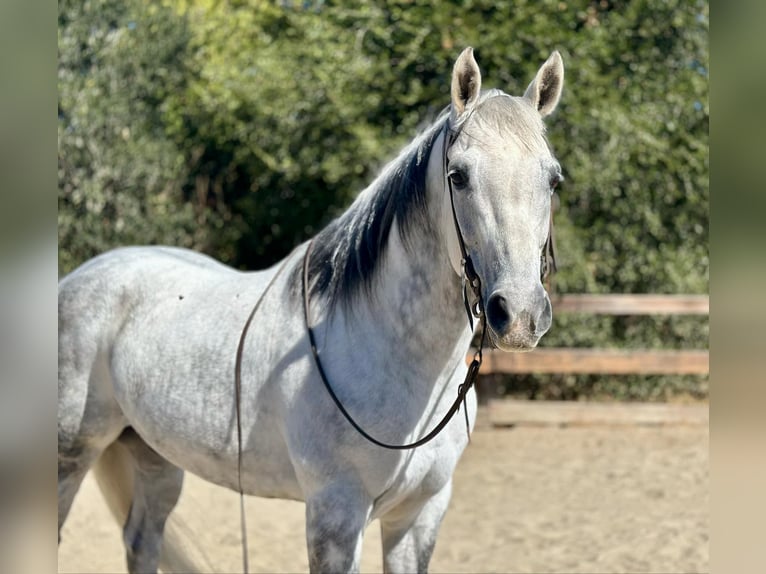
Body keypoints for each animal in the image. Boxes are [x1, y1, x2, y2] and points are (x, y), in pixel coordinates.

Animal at [58, 47, 565, 573]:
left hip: (153, 456)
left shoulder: (418, 516)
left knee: (142, 539)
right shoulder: (335, 516)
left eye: (553, 179)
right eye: (457, 176)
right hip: (70, 455)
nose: (520, 314)